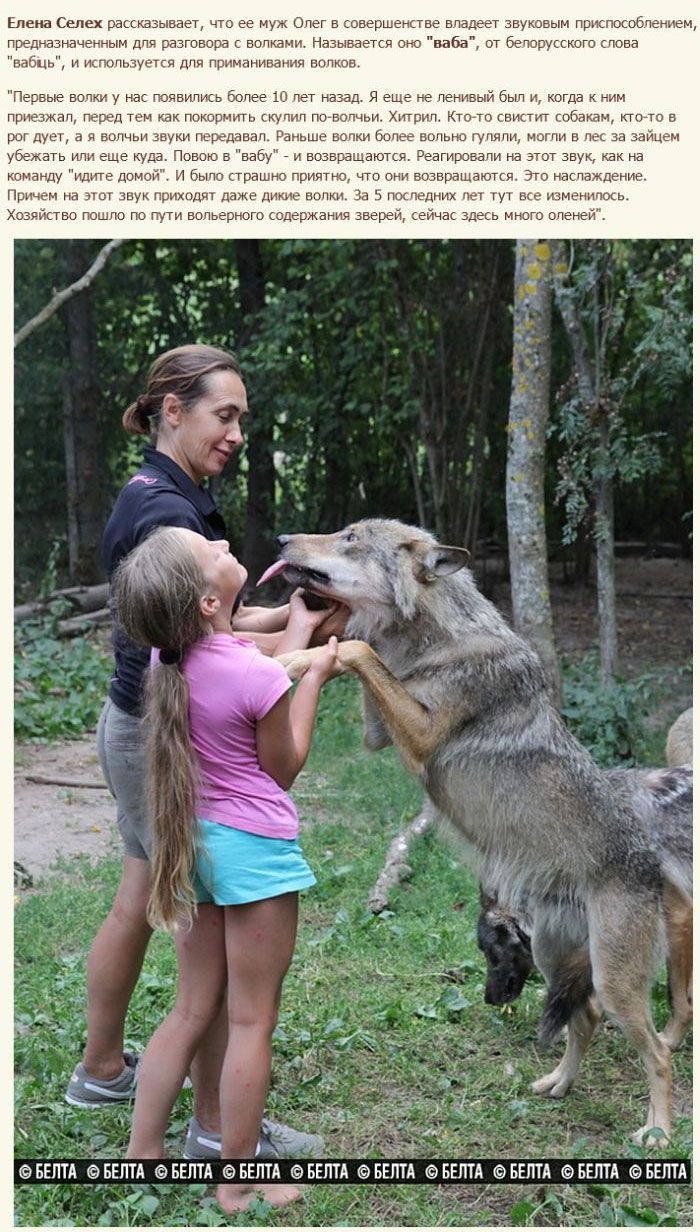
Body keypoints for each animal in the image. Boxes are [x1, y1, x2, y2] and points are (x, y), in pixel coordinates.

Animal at [263, 519, 695, 1143]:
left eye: (350, 537)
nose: (280, 541)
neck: (436, 639)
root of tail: (650, 858)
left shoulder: (420, 734)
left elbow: (356, 649)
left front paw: (296, 655)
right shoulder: (377, 732)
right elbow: (347, 649)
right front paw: (293, 654)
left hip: (616, 983)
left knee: (658, 1053)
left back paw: (656, 1132)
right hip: (555, 958)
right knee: (584, 1019)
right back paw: (558, 1086)